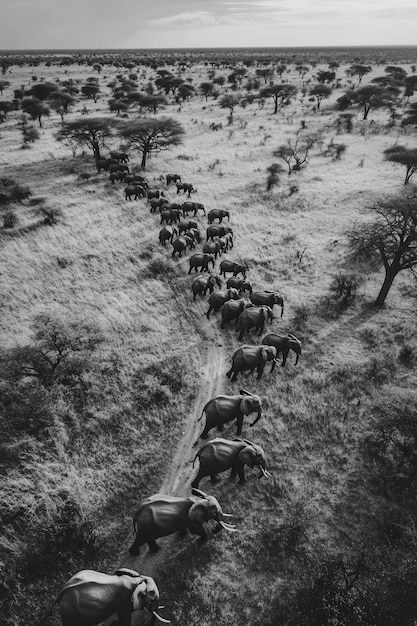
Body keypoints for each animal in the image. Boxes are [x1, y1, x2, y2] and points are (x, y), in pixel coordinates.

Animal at [39, 568, 168, 620]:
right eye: (151, 598)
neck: (137, 580)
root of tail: (61, 593)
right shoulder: (124, 600)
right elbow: (125, 617)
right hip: (70, 613)